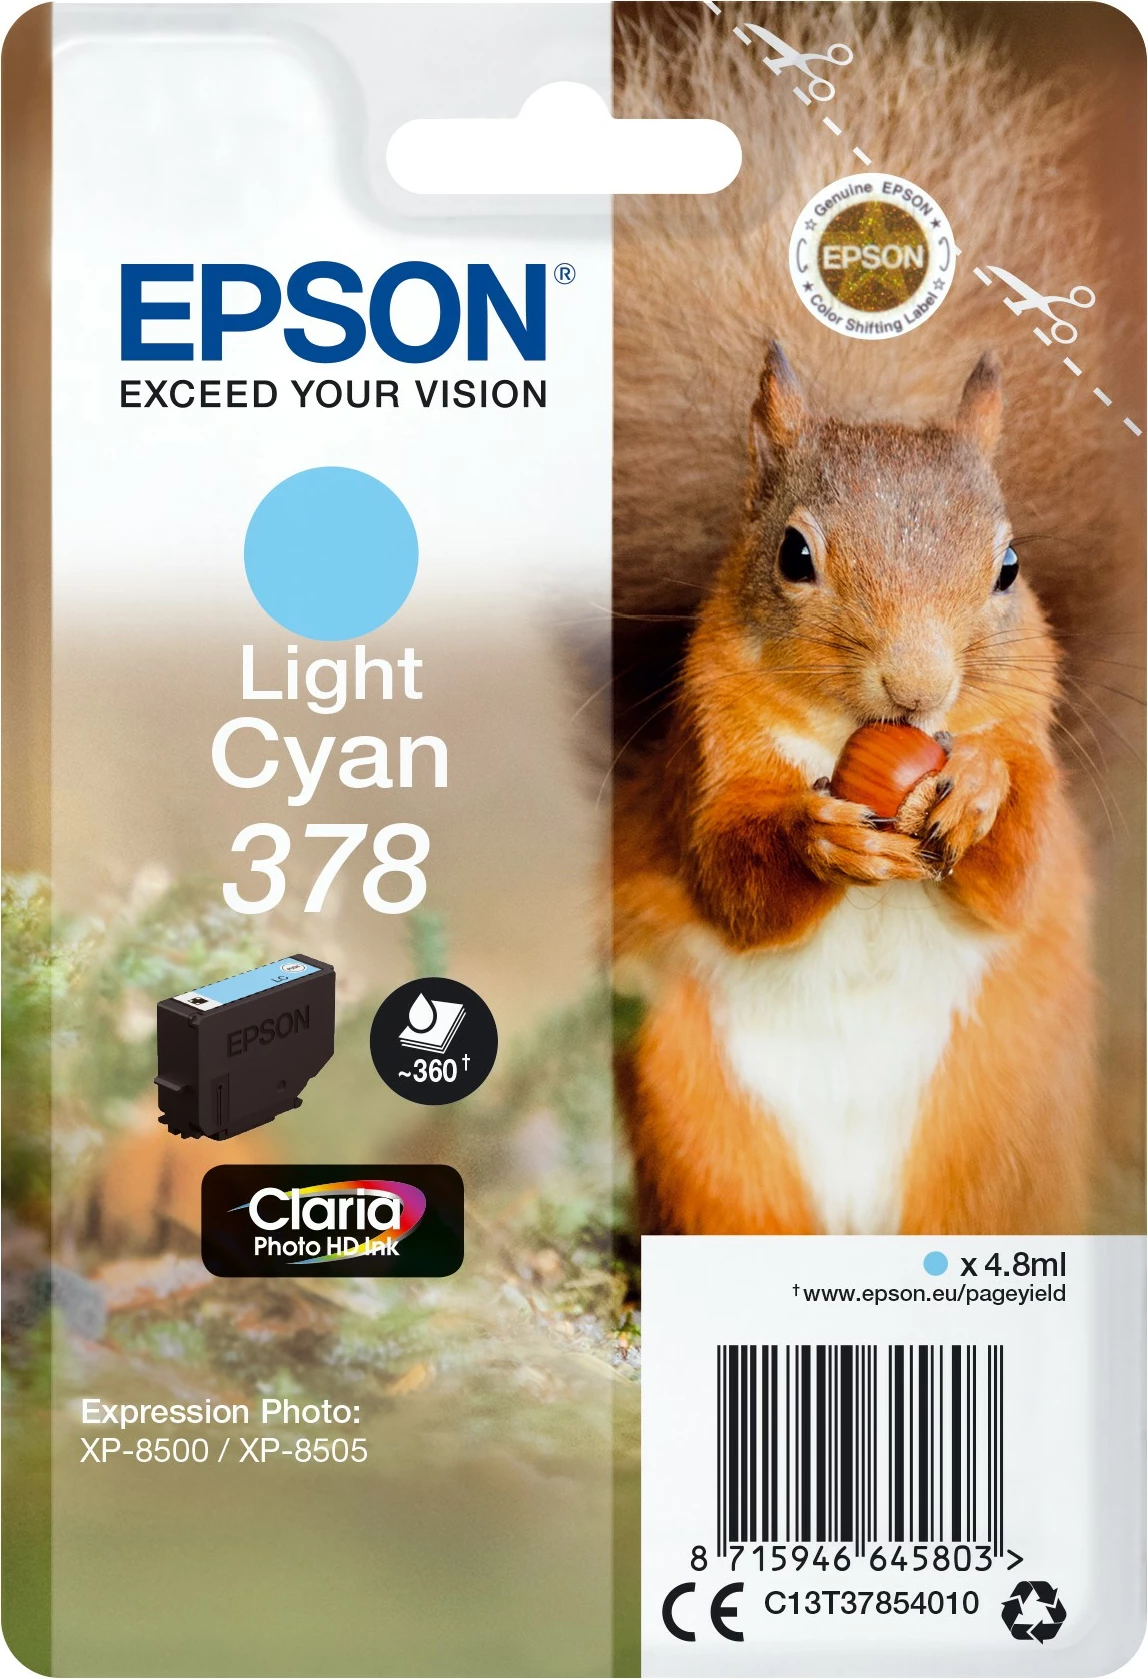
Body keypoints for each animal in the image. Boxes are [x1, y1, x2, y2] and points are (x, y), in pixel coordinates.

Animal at [609, 4, 1139, 1236]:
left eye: (1008, 566)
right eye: (793, 555)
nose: (918, 689)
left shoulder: (1032, 745)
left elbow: (1020, 863)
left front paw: (978, 790)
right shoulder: (706, 755)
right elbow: (730, 872)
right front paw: (822, 837)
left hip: (997, 1138)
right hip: (704, 1131)